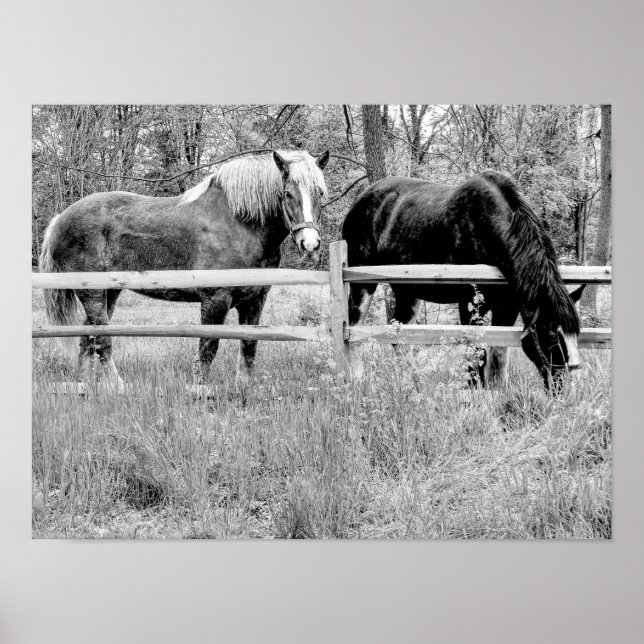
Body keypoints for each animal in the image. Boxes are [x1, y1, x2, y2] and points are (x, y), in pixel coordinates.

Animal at [39, 149, 330, 390]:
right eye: (287, 194)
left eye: (320, 193)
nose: (310, 243)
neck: (238, 225)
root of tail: (60, 219)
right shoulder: (215, 300)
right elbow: (207, 348)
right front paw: (200, 392)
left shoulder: (255, 300)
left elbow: (249, 346)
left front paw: (244, 391)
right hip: (93, 294)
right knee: (102, 338)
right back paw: (117, 386)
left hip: (109, 293)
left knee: (87, 338)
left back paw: (82, 386)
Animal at [341, 170, 584, 390]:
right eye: (551, 337)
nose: (562, 390)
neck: (486, 228)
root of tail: (360, 200)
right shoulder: (470, 304)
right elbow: (476, 351)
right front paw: (474, 389)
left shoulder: (507, 306)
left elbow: (499, 352)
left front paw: (498, 391)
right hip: (362, 284)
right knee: (353, 328)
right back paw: (356, 380)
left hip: (407, 292)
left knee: (401, 339)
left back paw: (411, 383)